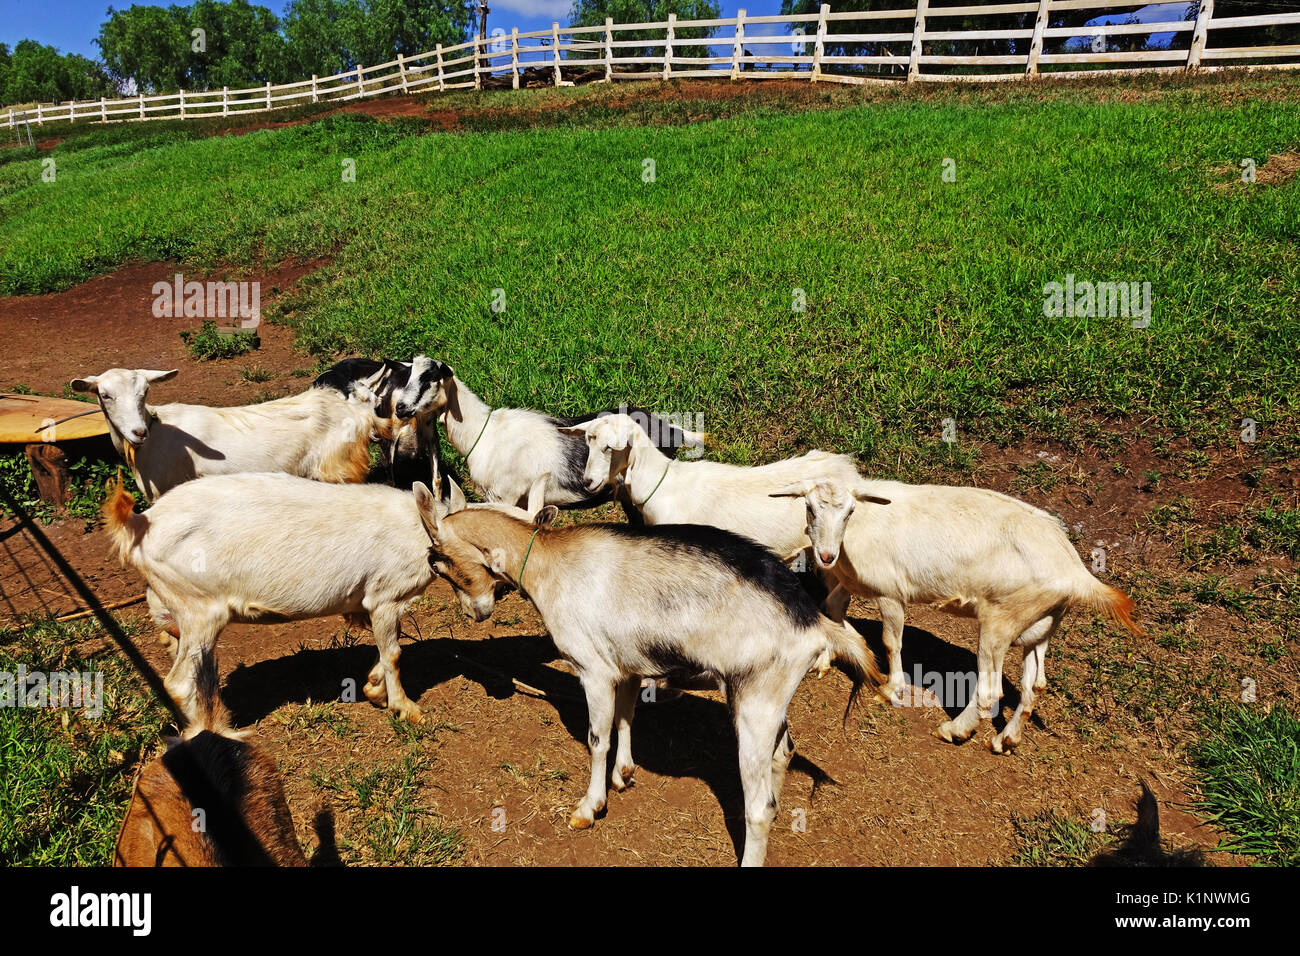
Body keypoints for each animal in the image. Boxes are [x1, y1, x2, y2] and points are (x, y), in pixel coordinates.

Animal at [391, 356, 706, 510]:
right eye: (406, 376)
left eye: (430, 378)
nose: (401, 408)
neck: (484, 433)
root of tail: (670, 428)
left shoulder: (504, 496)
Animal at [411, 485, 881, 866]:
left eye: (437, 562)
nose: (475, 613)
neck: (549, 561)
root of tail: (814, 623)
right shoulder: (628, 667)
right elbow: (626, 717)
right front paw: (624, 774)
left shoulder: (594, 671)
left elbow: (597, 738)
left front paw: (589, 808)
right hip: (767, 699)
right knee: (782, 756)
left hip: (755, 704)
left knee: (759, 805)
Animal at [771, 477, 1144, 752]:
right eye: (809, 508)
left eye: (849, 511)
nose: (826, 555)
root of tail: (1074, 568)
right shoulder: (851, 582)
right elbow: (830, 610)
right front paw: (832, 656)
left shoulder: (891, 592)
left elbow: (891, 641)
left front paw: (892, 688)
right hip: (1042, 624)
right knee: (1033, 686)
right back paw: (1005, 740)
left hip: (1001, 620)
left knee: (991, 689)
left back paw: (955, 730)